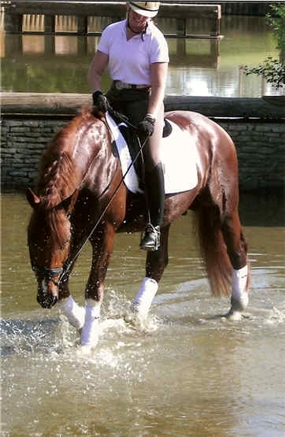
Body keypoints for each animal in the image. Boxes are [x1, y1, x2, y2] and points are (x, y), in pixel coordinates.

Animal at [26, 107, 248, 350]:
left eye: (63, 242)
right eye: (30, 240)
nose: (45, 296)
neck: (97, 162)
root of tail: (214, 128)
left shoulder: (103, 233)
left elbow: (94, 287)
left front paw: (87, 343)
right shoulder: (78, 229)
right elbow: (64, 282)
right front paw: (83, 324)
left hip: (224, 209)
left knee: (237, 250)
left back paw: (237, 308)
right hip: (166, 217)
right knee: (157, 263)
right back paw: (135, 317)